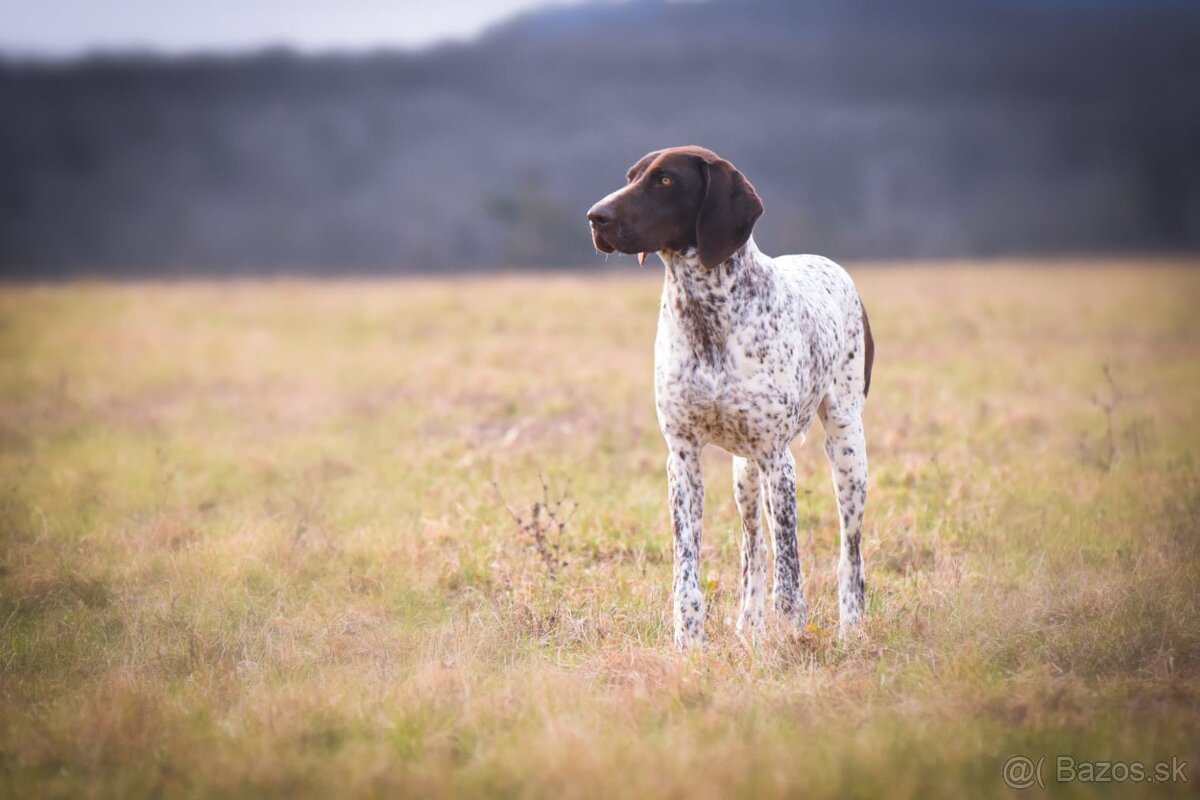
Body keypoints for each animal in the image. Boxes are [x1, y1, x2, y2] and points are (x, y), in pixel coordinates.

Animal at [588, 146, 878, 652]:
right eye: (631, 176)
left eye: (665, 180)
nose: (595, 217)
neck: (706, 315)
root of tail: (831, 263)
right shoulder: (683, 459)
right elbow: (688, 569)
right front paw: (688, 643)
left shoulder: (778, 460)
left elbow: (791, 573)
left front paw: (794, 635)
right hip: (745, 476)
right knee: (754, 550)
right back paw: (750, 628)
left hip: (845, 450)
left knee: (849, 552)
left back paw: (850, 627)